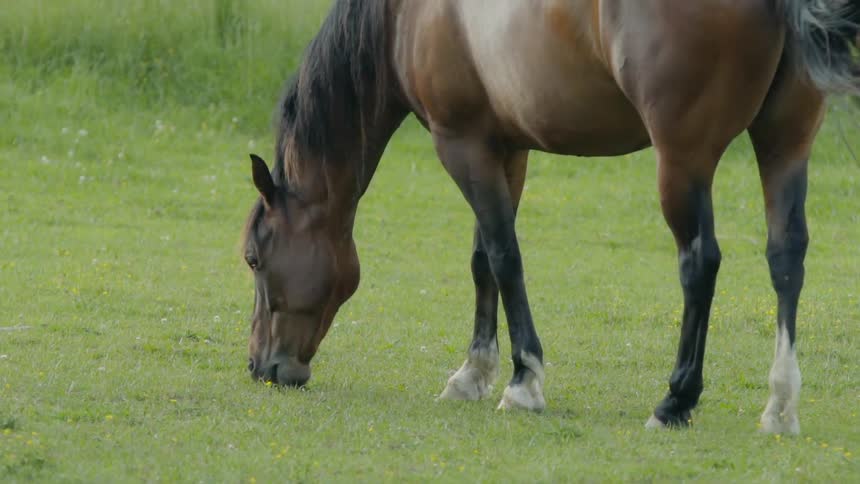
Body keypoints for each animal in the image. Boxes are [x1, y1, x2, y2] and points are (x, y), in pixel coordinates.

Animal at [241, 0, 860, 433]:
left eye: (252, 258)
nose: (261, 367)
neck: (405, 16)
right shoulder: (503, 148)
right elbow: (481, 260)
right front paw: (473, 372)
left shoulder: (460, 144)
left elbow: (504, 256)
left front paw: (523, 381)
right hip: (784, 144)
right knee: (786, 258)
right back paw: (780, 405)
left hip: (683, 160)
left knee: (699, 263)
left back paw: (675, 400)